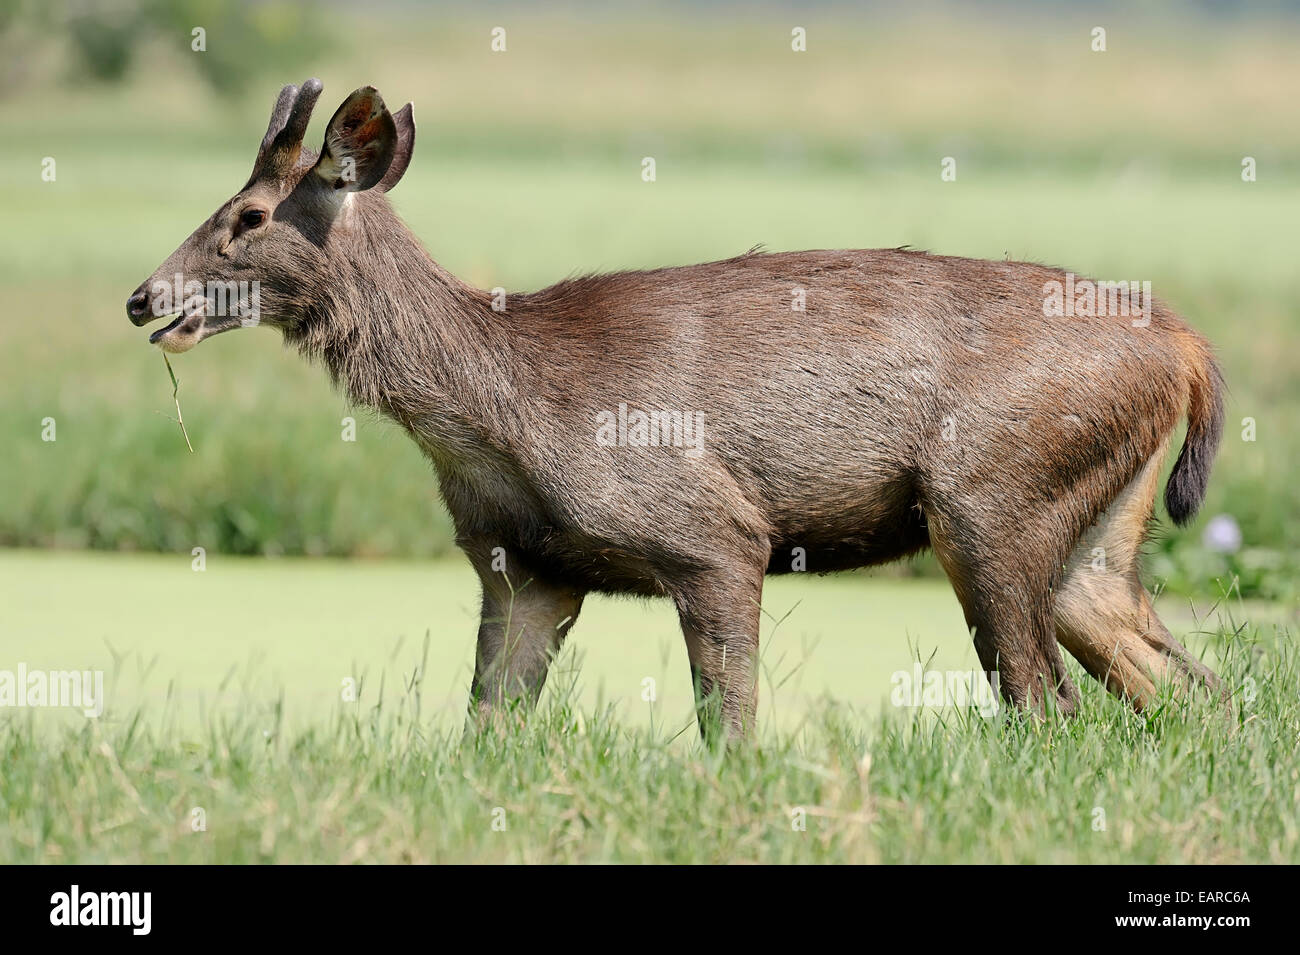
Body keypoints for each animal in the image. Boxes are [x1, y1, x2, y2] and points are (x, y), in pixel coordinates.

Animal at [126, 80, 1222, 738]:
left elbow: (726, 727)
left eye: (248, 215)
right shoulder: (525, 566)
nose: (143, 297)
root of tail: (1182, 344)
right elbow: (484, 729)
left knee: (1050, 704)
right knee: (1182, 686)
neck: (503, 414)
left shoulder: (713, 532)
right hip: (1094, 531)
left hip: (987, 498)